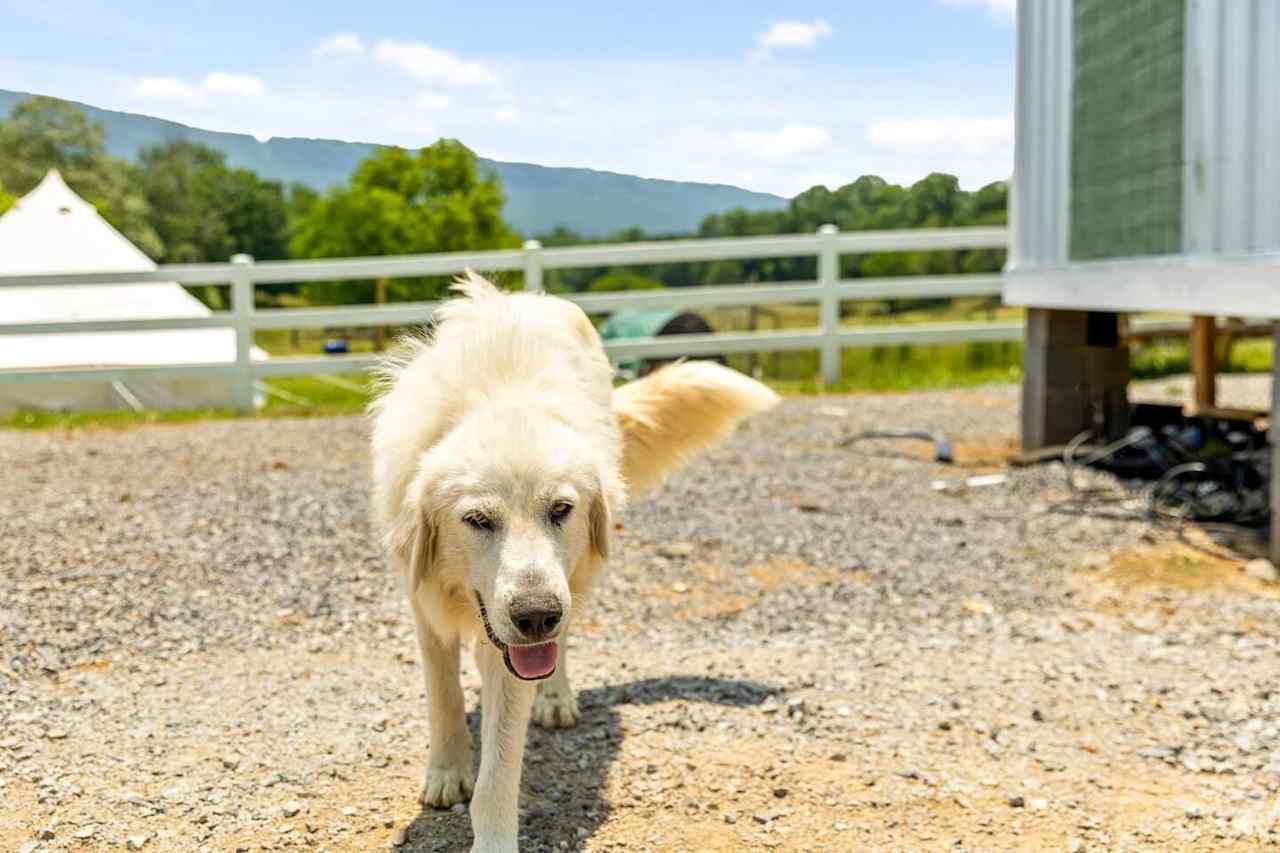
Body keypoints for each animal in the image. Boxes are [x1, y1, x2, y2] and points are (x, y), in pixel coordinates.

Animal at [366, 274, 773, 850]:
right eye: (478, 520)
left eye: (560, 509)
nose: (536, 616)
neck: (499, 400)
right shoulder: (426, 608)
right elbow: (444, 699)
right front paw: (447, 771)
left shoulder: (516, 647)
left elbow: (498, 774)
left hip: (577, 577)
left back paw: (555, 696)